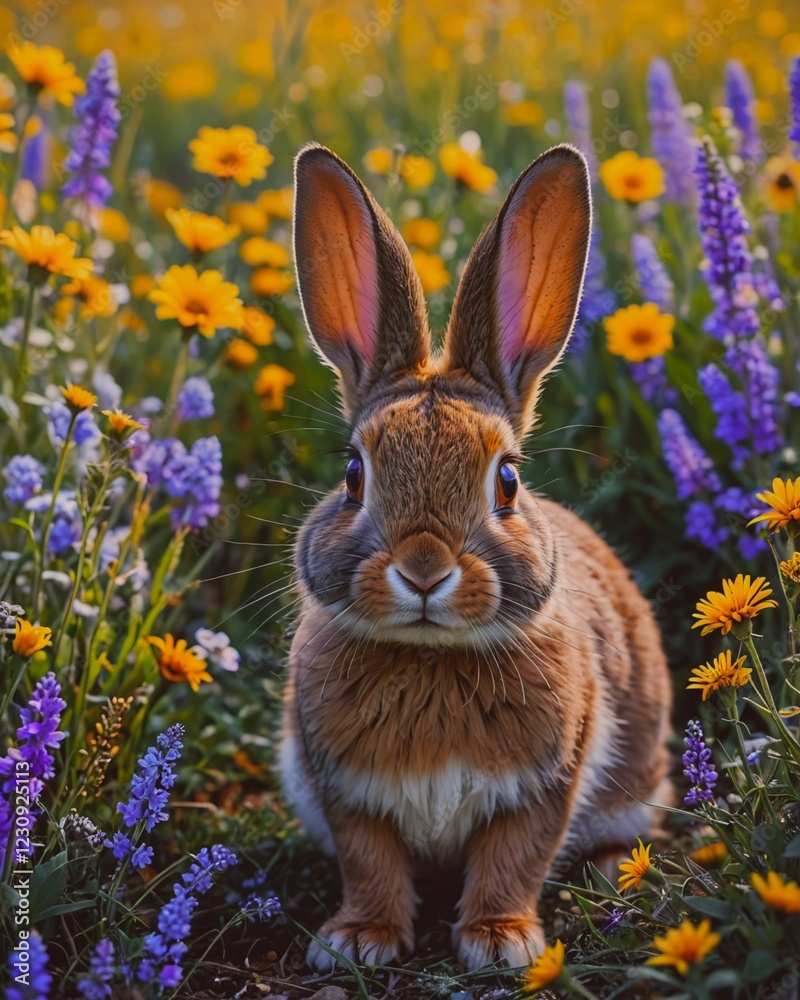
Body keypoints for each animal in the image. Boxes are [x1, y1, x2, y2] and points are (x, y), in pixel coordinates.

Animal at [280, 141, 672, 973]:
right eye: (353, 474)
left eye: (508, 480)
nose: (424, 570)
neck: (433, 656)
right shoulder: (344, 793)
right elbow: (370, 861)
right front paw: (358, 940)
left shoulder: (545, 785)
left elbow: (514, 857)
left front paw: (501, 942)